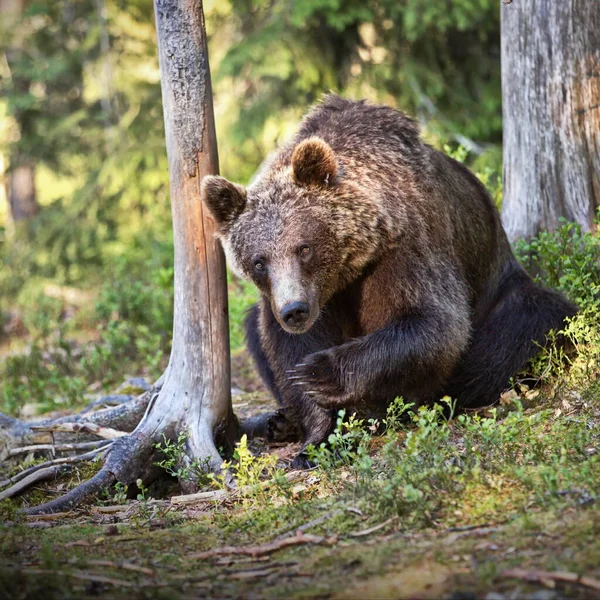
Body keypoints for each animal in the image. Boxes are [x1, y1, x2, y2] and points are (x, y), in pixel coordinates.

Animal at [202, 96, 576, 466]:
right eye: (259, 262)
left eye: (303, 247)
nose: (294, 310)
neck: (352, 264)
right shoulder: (310, 298)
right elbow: (288, 348)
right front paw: (318, 435)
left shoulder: (406, 248)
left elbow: (434, 324)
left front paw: (322, 374)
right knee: (252, 327)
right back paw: (283, 422)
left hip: (501, 286)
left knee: (524, 323)